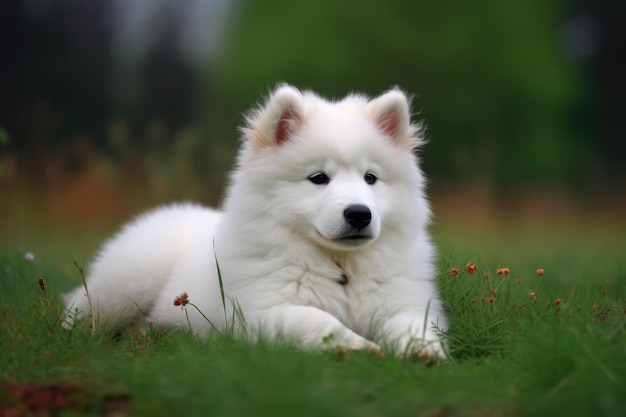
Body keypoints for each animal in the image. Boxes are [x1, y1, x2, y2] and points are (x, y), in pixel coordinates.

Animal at [62, 83, 444, 360]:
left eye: (370, 178)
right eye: (318, 178)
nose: (359, 213)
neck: (341, 266)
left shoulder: (406, 302)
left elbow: (411, 323)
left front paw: (423, 350)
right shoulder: (260, 312)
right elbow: (316, 319)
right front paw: (355, 346)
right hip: (126, 283)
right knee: (82, 309)